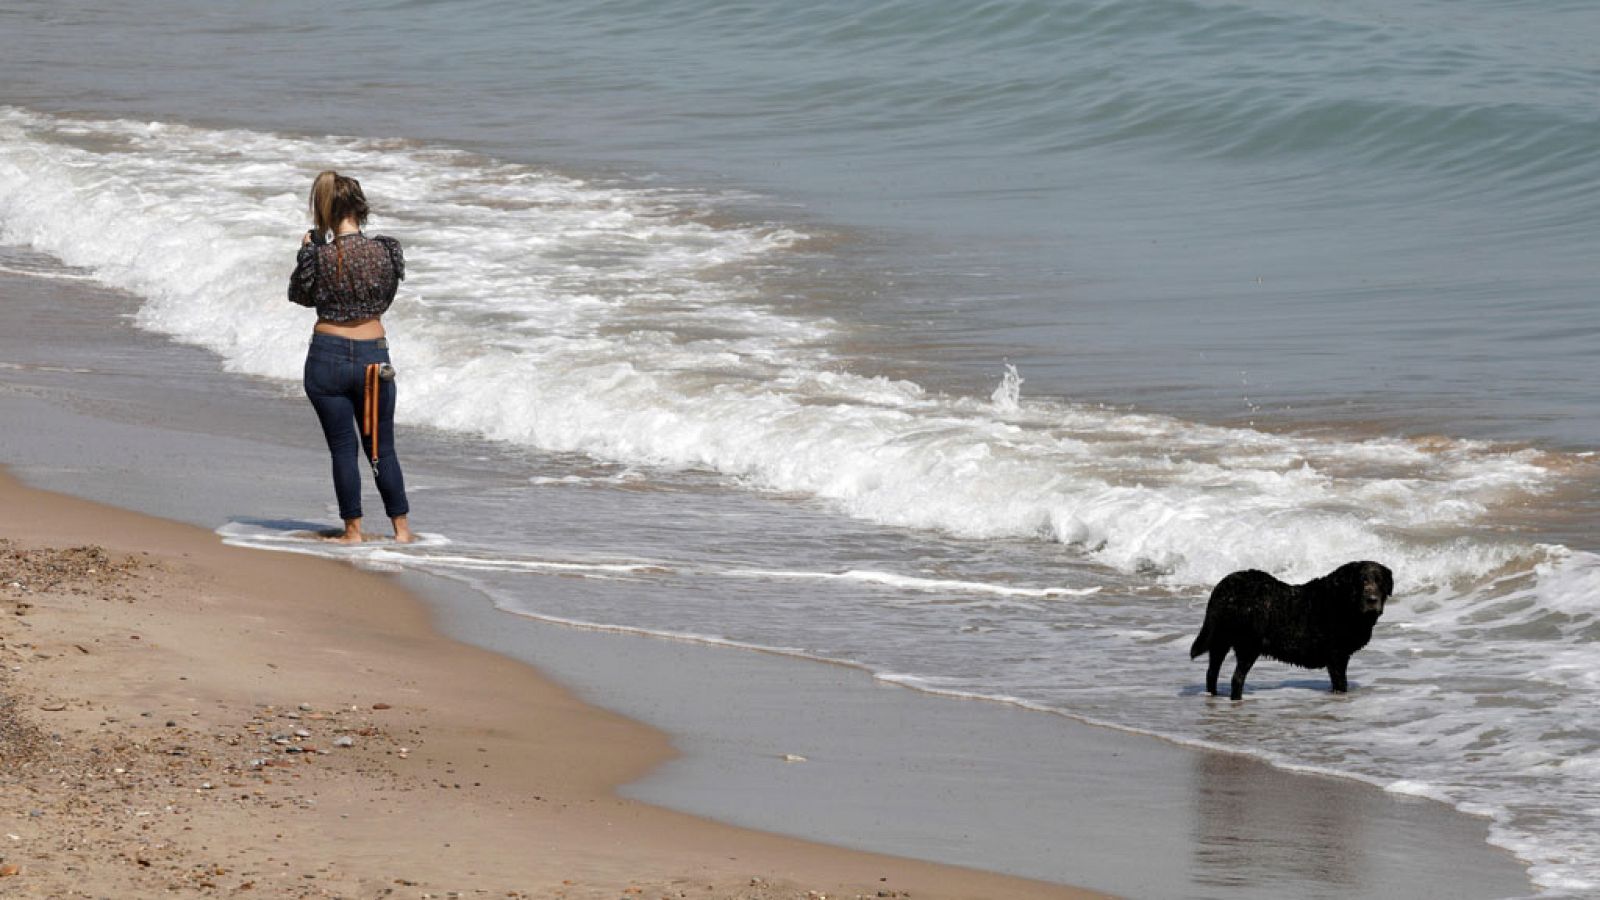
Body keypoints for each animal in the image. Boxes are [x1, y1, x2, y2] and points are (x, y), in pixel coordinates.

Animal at [1190, 560, 1388, 701]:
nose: (1372, 599)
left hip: (1220, 641)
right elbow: (1341, 683)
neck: (1343, 601)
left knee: (1211, 673)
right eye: (1362, 581)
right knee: (1236, 679)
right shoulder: (1337, 657)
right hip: (1249, 645)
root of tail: (1226, 586)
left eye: (1379, 581)